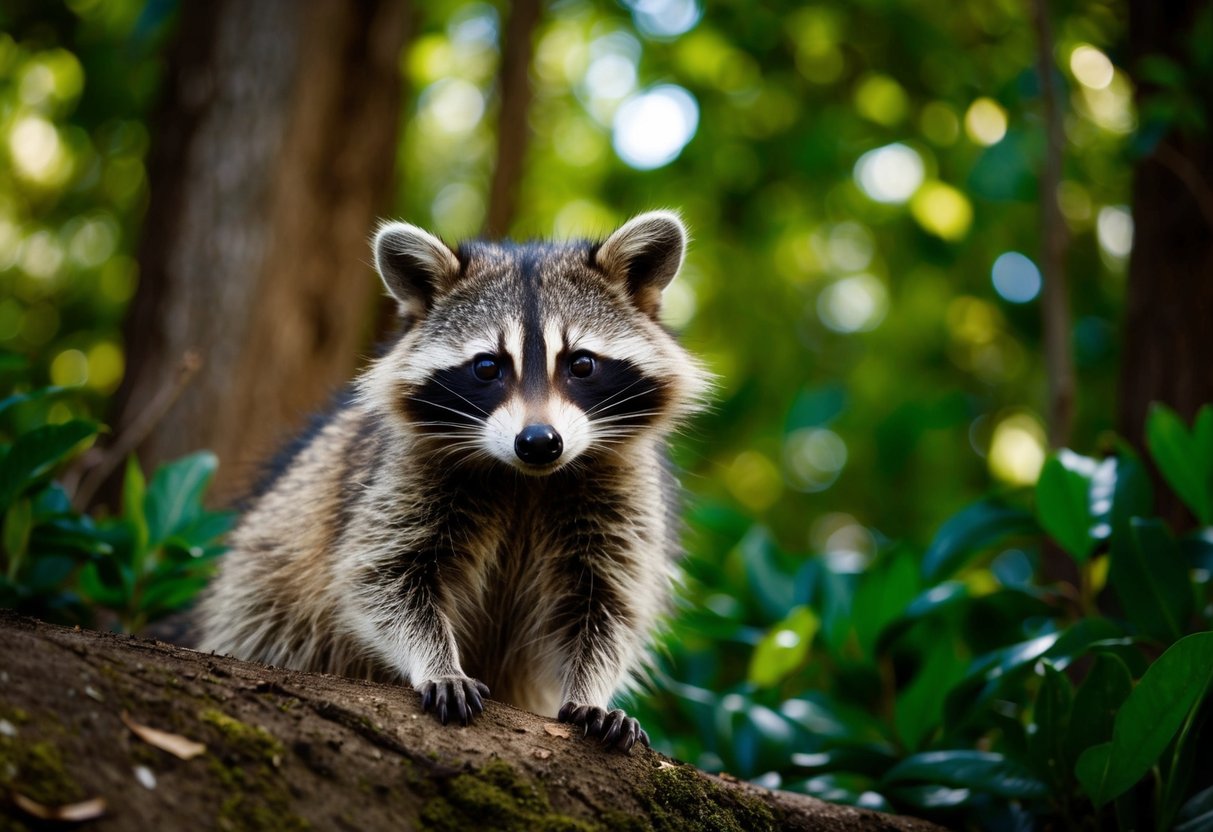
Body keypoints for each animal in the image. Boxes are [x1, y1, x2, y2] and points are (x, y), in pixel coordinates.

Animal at [197, 211, 710, 751]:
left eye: (582, 363)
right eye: (487, 366)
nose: (538, 442)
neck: (527, 479)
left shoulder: (623, 493)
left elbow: (610, 607)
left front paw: (591, 690)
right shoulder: (399, 478)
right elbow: (382, 579)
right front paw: (436, 663)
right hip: (262, 588)